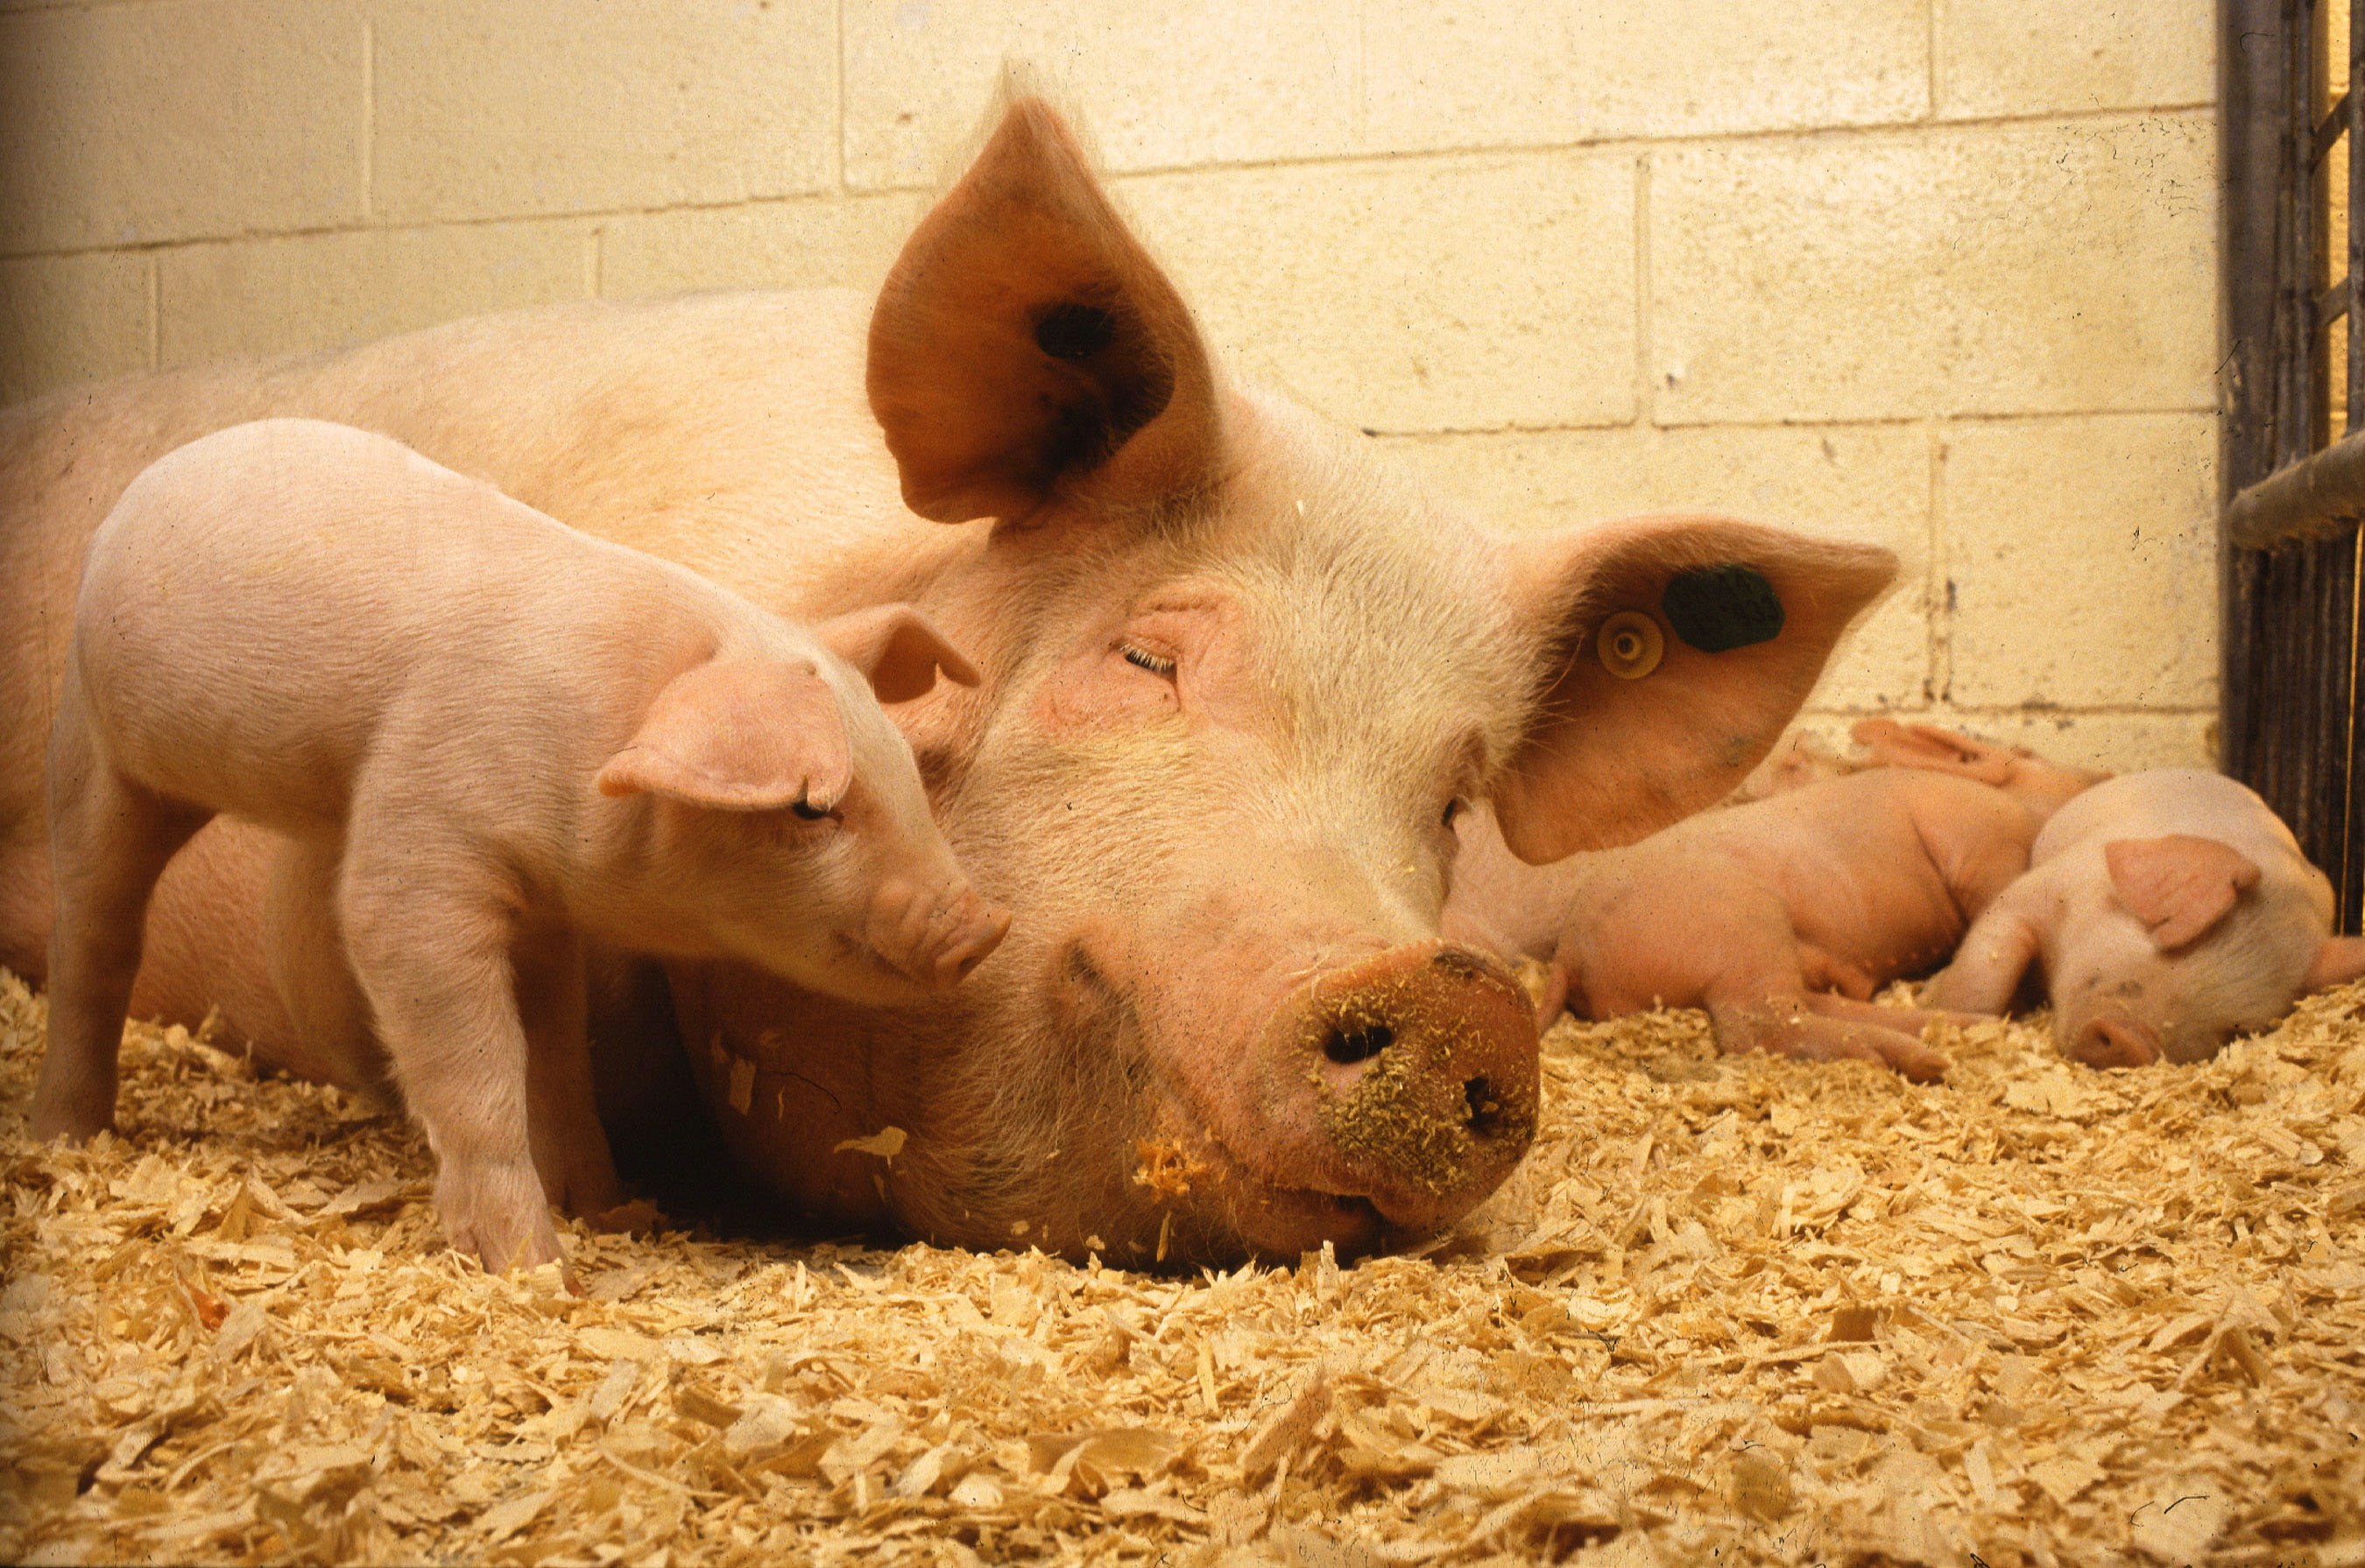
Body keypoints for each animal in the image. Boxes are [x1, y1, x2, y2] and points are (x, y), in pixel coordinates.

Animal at [30, 420, 1007, 1276]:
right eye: (810, 807)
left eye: (904, 767)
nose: (985, 924)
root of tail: (143, 488)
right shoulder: (418, 842)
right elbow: (473, 1057)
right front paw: (536, 1266)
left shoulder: (542, 909)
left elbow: (559, 1056)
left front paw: (610, 1209)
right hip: (97, 749)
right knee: (94, 931)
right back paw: (66, 1135)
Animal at [1920, 771, 2365, 1069]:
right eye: (2172, 941)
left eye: (2234, 1029)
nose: (2129, 1041)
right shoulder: (2039, 889)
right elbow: (1988, 968)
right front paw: (1952, 1017)